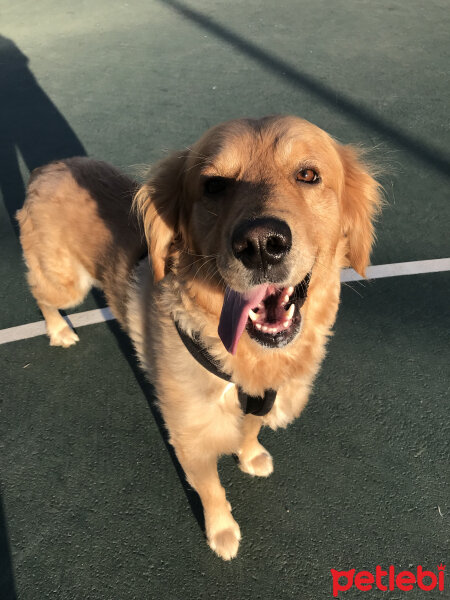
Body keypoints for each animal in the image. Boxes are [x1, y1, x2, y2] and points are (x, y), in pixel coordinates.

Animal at [18, 116, 384, 556]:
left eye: (308, 175)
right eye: (214, 185)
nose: (261, 244)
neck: (249, 357)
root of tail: (47, 169)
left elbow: (250, 428)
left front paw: (250, 455)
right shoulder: (191, 440)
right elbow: (211, 491)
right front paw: (222, 531)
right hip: (65, 284)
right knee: (41, 294)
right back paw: (58, 330)